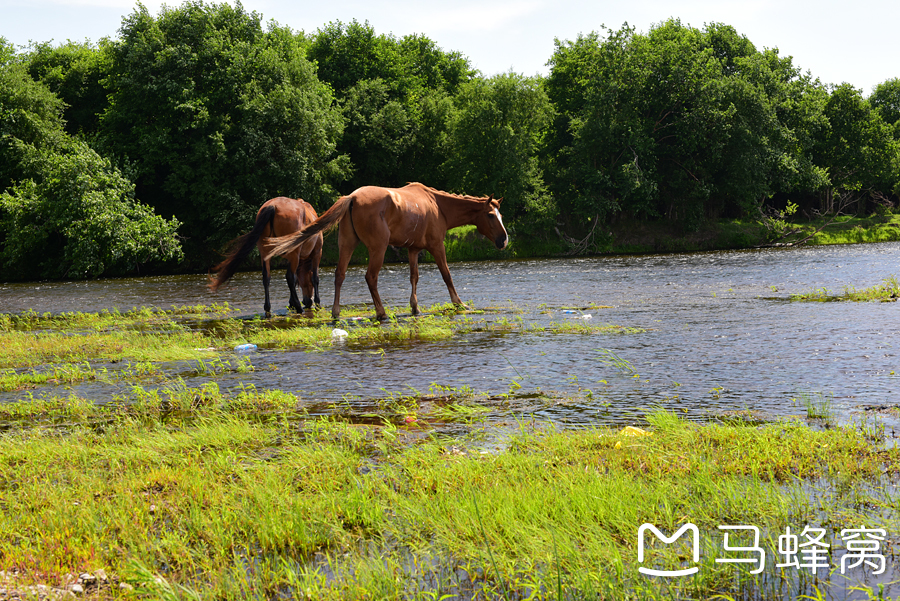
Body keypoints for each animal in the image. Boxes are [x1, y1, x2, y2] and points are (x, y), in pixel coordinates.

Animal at [266, 182, 506, 318]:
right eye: (490, 215)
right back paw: (381, 313)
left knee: (339, 275)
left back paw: (336, 312)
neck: (438, 206)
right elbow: (447, 275)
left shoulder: (413, 249)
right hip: (378, 248)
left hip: (347, 244)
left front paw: (415, 307)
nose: (504, 240)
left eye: (500, 215)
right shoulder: (437, 245)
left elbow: (414, 277)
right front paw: (459, 303)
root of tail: (352, 198)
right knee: (371, 277)